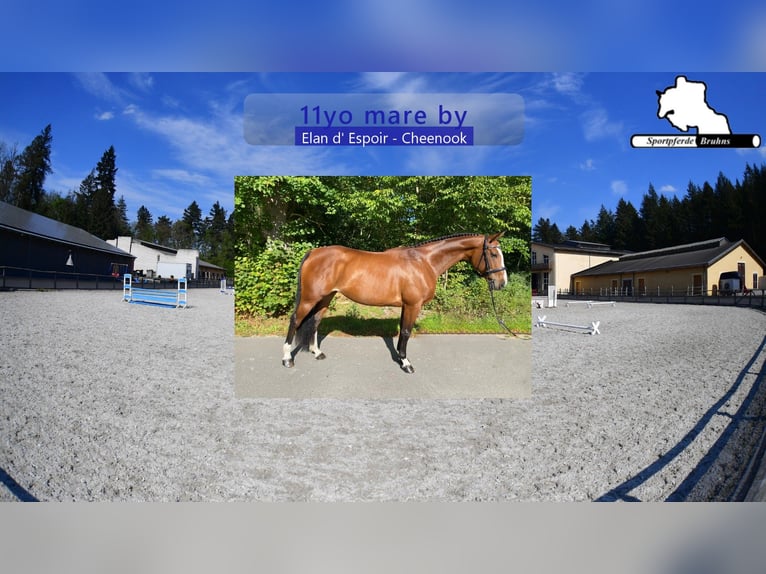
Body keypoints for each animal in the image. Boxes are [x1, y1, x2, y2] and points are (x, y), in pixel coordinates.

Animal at [281, 232, 508, 374]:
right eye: (493, 254)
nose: (502, 283)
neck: (424, 262)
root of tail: (314, 252)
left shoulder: (406, 306)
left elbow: (402, 332)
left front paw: (400, 358)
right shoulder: (413, 305)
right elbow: (406, 332)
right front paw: (407, 364)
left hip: (325, 297)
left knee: (315, 321)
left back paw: (317, 353)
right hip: (310, 297)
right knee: (295, 321)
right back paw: (287, 359)